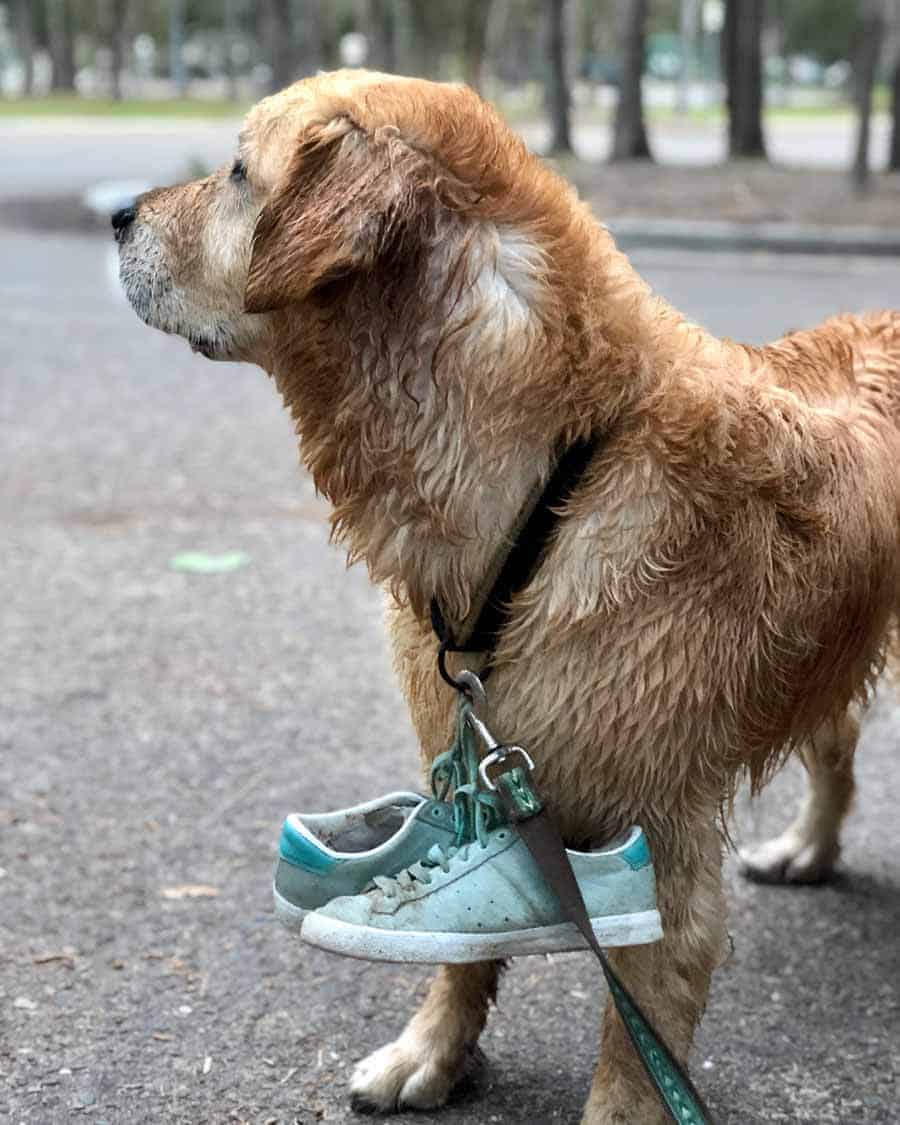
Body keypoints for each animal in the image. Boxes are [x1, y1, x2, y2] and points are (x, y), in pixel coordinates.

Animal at [115, 72, 900, 1125]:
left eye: (238, 172)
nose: (118, 214)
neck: (552, 485)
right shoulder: (472, 764)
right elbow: (462, 951)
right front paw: (430, 1050)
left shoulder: (666, 847)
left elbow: (638, 1036)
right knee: (836, 741)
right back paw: (808, 849)